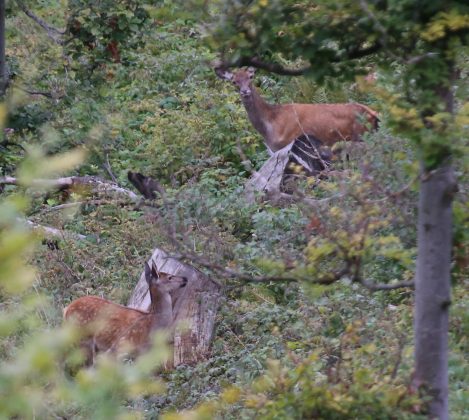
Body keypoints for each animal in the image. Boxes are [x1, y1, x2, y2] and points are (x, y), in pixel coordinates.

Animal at [214, 67, 378, 154]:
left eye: (250, 77)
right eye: (234, 81)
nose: (245, 91)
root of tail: (374, 114)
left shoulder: (288, 144)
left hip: (362, 136)